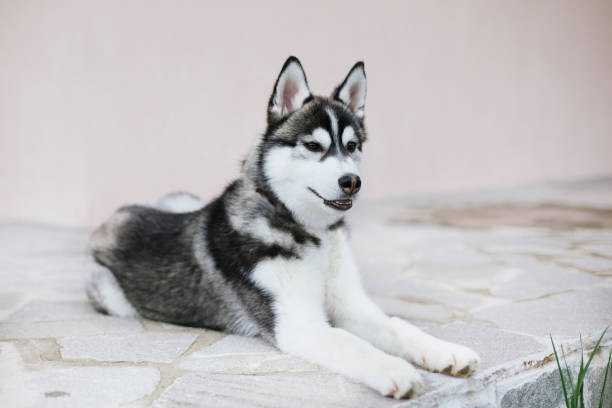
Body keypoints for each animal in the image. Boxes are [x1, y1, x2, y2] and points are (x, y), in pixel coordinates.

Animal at [86, 56, 480, 398]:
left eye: (352, 146)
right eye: (314, 146)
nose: (352, 181)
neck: (312, 233)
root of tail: (115, 216)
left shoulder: (352, 306)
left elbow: (398, 326)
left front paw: (444, 351)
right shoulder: (298, 323)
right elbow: (354, 344)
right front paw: (394, 370)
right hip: (112, 294)